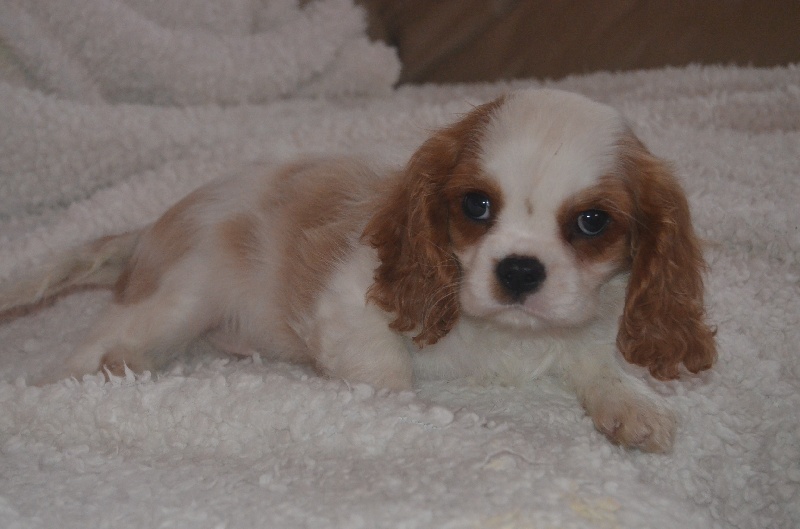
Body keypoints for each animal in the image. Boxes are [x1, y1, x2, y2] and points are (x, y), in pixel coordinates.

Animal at [0, 89, 716, 450]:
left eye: (592, 222)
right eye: (476, 206)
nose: (518, 270)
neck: (504, 334)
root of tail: (150, 228)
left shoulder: (580, 332)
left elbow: (600, 367)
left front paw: (635, 405)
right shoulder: (348, 308)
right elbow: (389, 380)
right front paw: (439, 420)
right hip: (176, 298)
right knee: (89, 347)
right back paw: (81, 380)